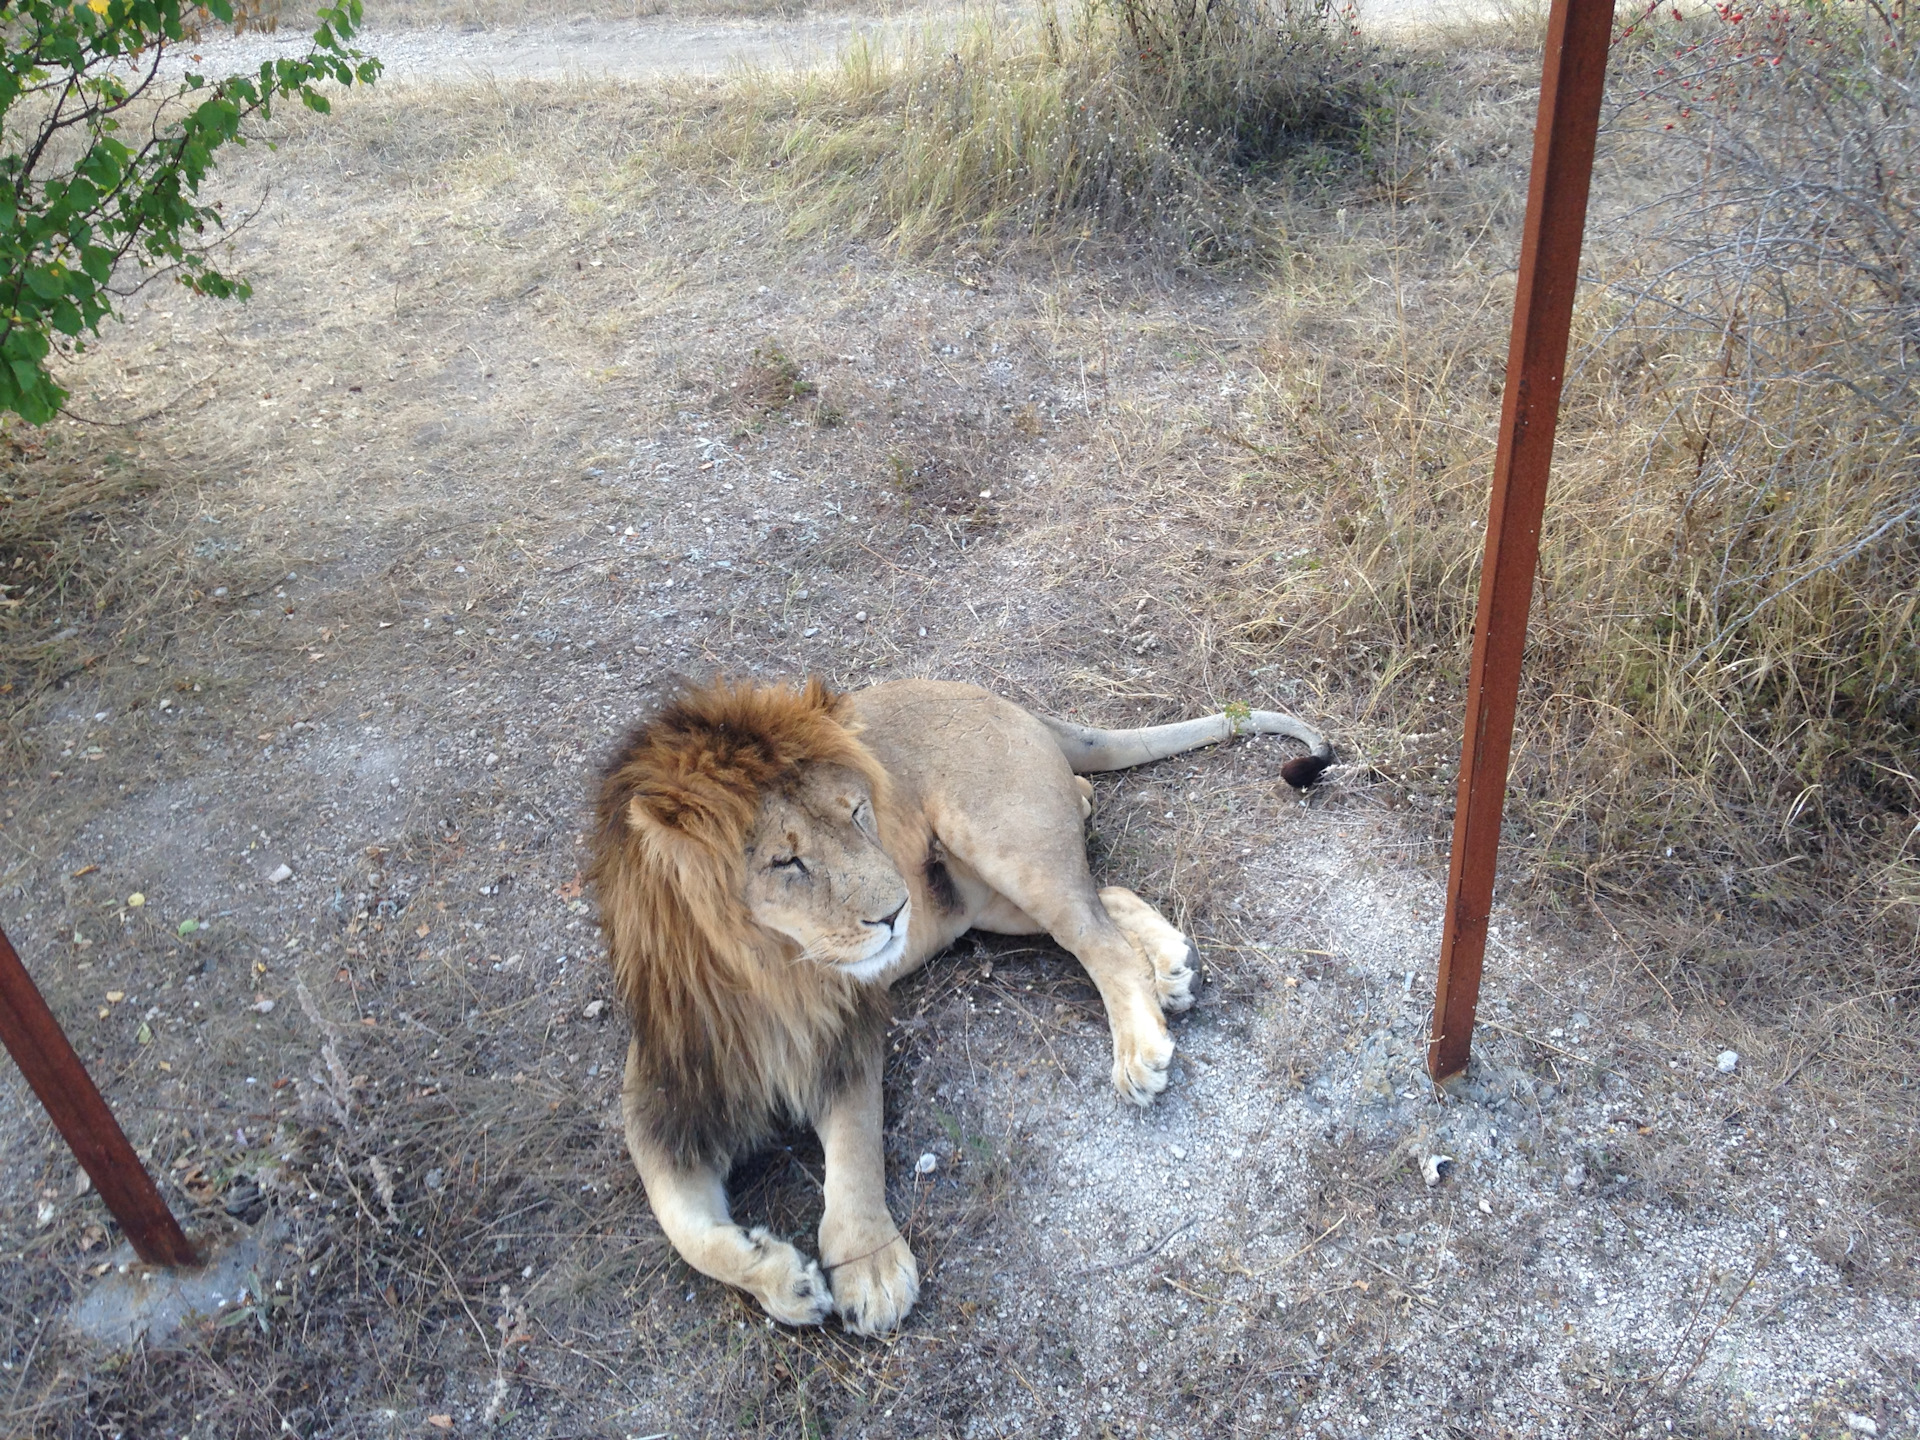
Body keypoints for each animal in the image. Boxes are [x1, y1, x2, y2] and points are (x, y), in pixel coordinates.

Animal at [591, 683, 1328, 1336]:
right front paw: (783, 1280)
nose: (894, 911)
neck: (771, 978)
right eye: (785, 861)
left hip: (1004, 844)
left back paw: (1141, 1046)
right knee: (1107, 898)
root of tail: (1000, 697)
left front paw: (869, 1270)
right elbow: (683, 1226)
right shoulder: (661, 1100)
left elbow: (854, 1154)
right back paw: (1173, 967)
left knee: (1100, 941)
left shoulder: (847, 1040)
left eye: (859, 814)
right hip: (983, 903)